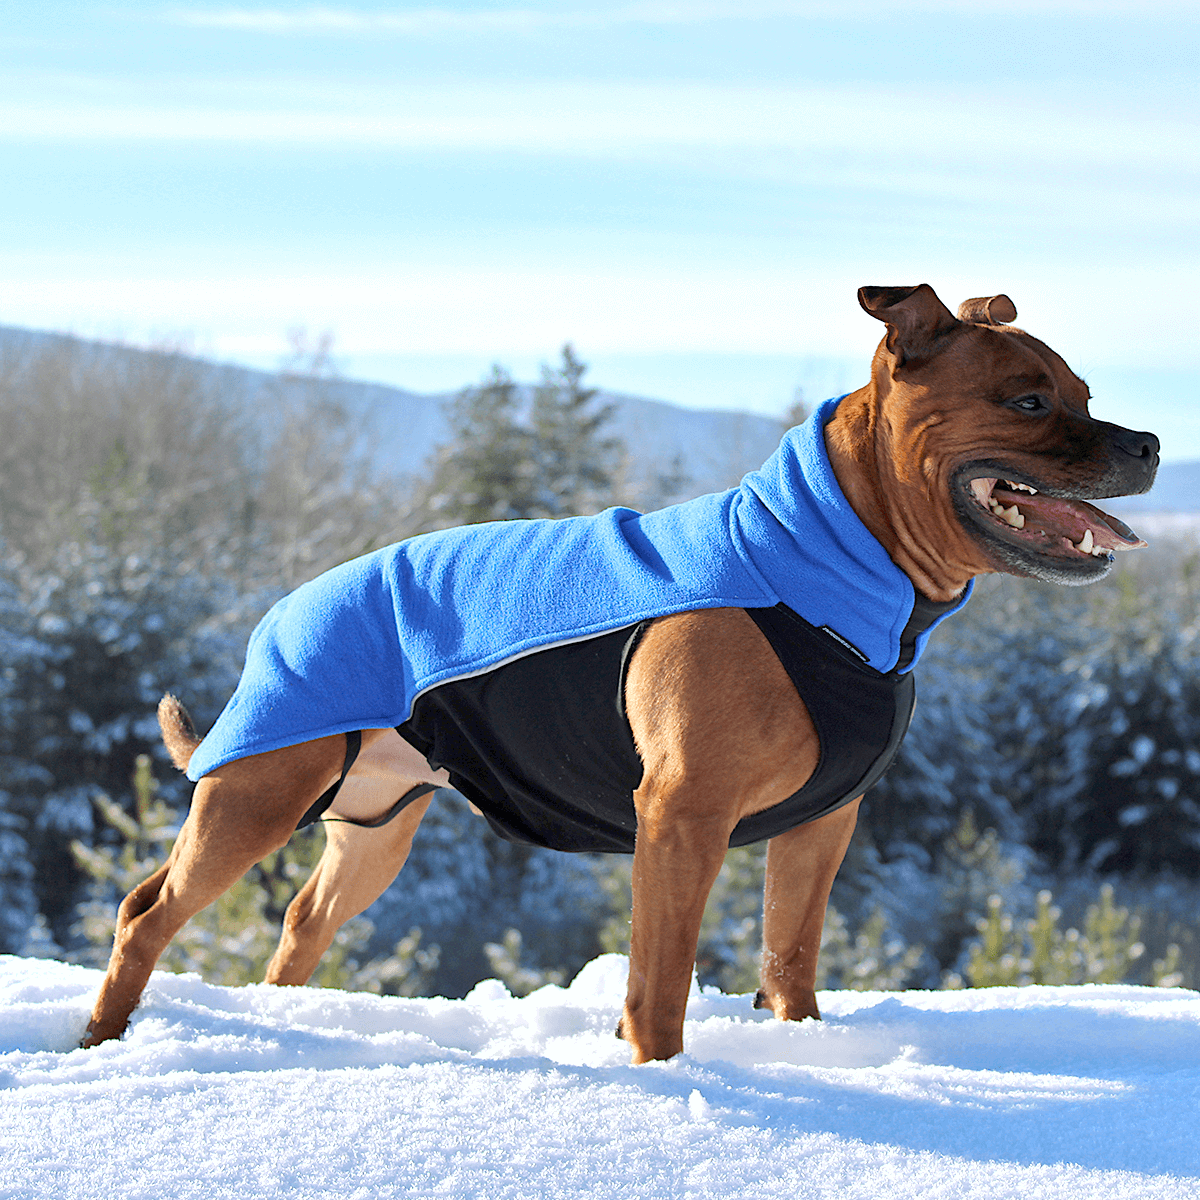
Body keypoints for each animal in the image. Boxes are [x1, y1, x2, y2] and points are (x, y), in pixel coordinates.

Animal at [79, 288, 1156, 1060]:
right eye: (1028, 400)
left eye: (1084, 393)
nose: (1149, 442)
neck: (832, 565)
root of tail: (284, 607)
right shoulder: (682, 815)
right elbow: (661, 980)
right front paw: (664, 1081)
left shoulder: (820, 823)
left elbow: (790, 952)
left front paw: (801, 1053)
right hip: (260, 791)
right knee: (146, 911)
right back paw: (102, 1037)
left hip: (375, 826)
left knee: (302, 918)